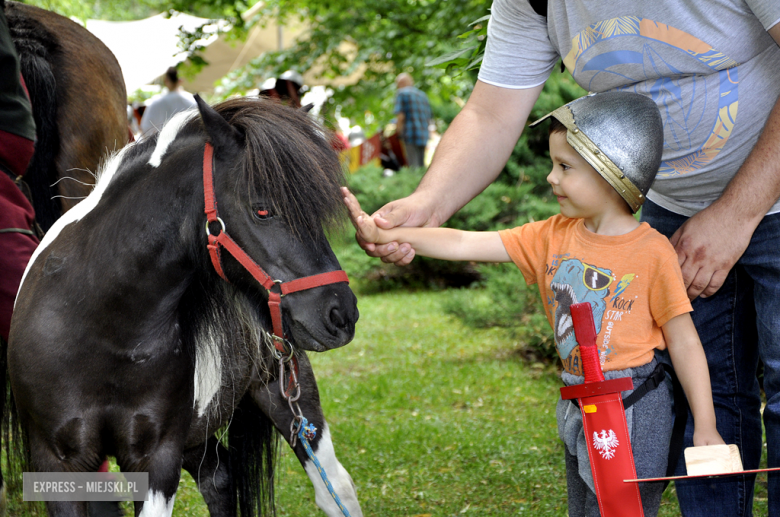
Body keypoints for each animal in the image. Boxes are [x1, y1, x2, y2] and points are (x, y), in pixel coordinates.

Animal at [9, 97, 362, 516]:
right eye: (262, 210)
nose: (341, 314)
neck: (99, 326)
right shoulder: (57, 463)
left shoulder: (158, 460)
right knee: (219, 480)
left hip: (289, 397)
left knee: (335, 488)